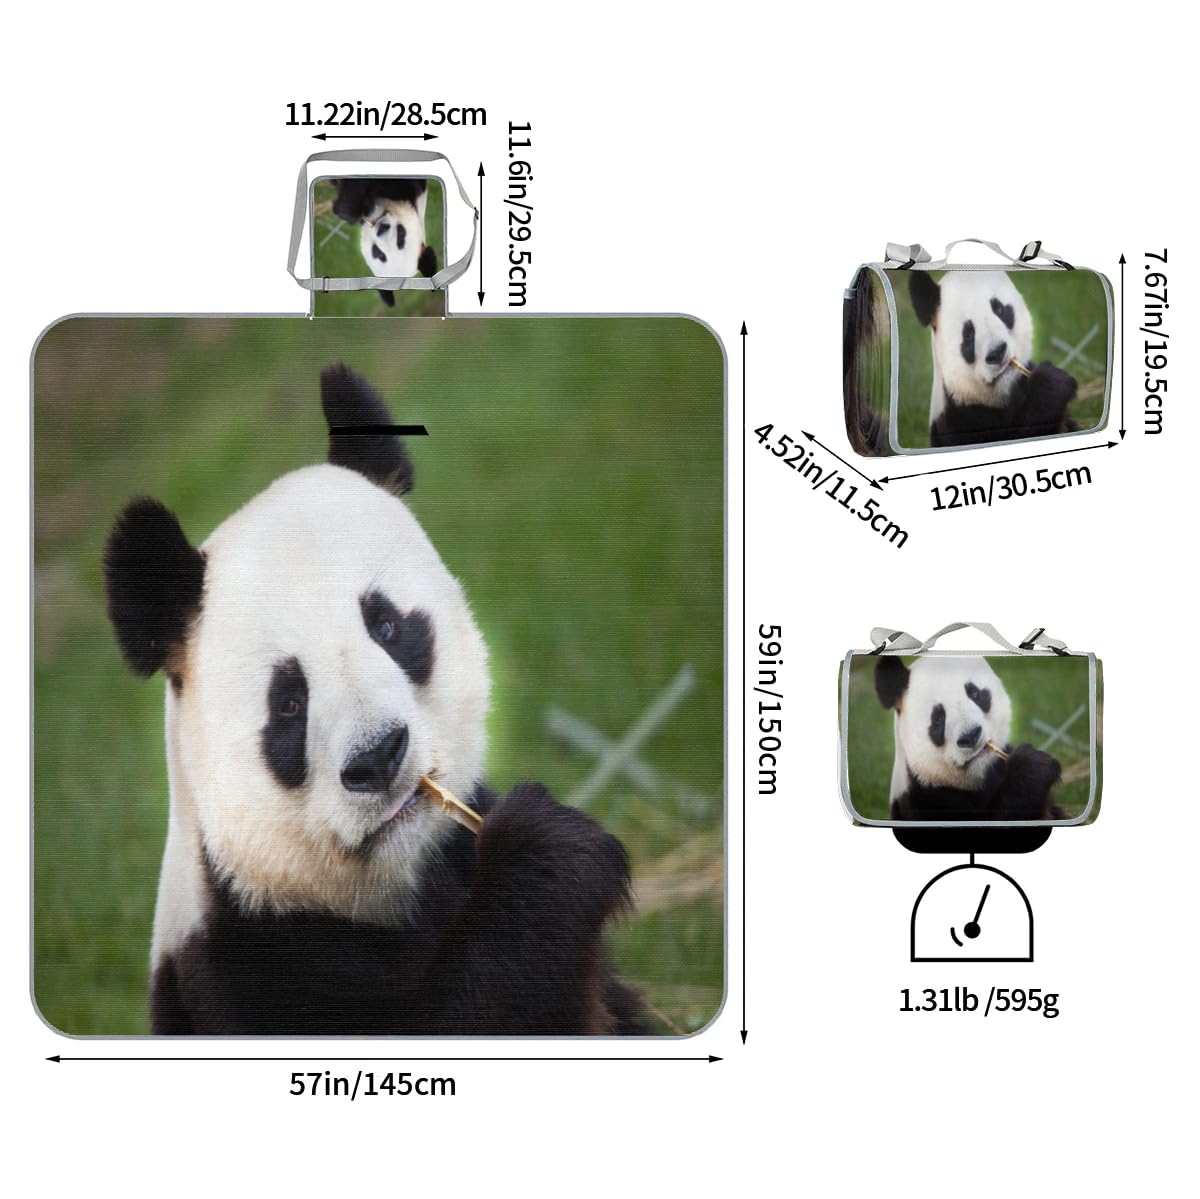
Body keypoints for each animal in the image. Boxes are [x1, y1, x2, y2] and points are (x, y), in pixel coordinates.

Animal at [102, 364, 645, 1035]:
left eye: (387, 627)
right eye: (289, 702)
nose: (379, 758)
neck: (394, 888)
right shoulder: (241, 966)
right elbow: (467, 1014)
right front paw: (546, 851)